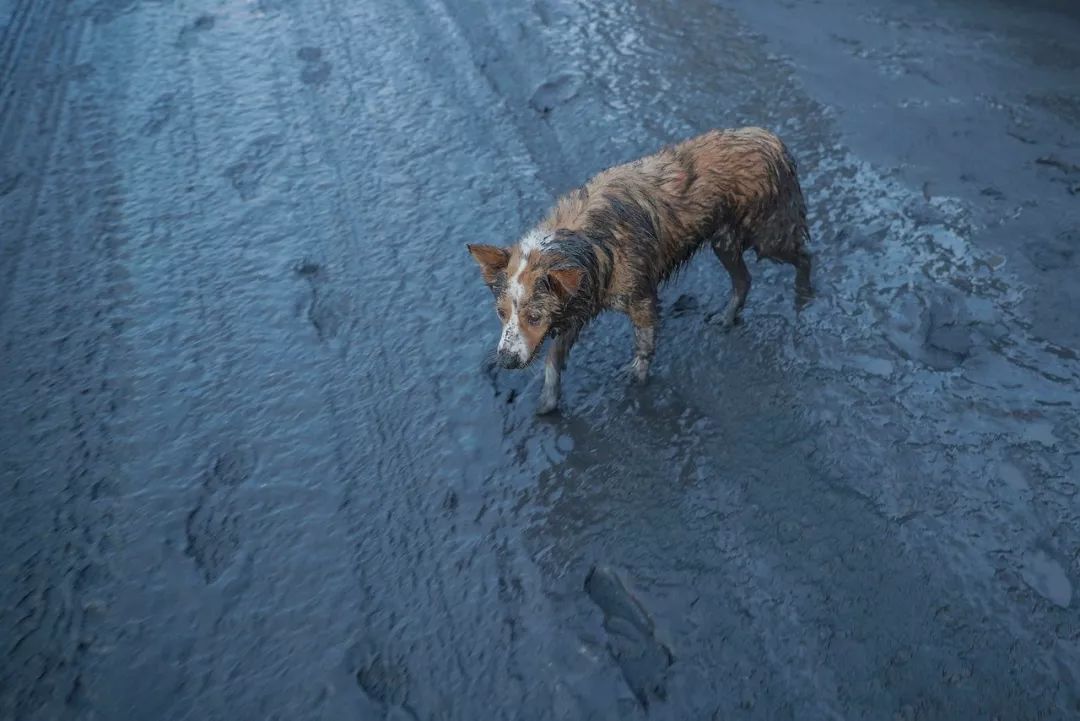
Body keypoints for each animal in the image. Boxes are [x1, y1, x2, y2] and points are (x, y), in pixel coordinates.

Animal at [464, 126, 812, 414]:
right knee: (744, 280)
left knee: (805, 256)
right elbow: (552, 360)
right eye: (501, 313)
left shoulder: (642, 300)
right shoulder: (577, 308)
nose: (505, 361)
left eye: (534, 317)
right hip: (724, 242)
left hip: (768, 236)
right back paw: (728, 317)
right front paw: (549, 401)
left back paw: (805, 296)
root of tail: (770, 138)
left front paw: (638, 377)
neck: (583, 241)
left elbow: (644, 344)